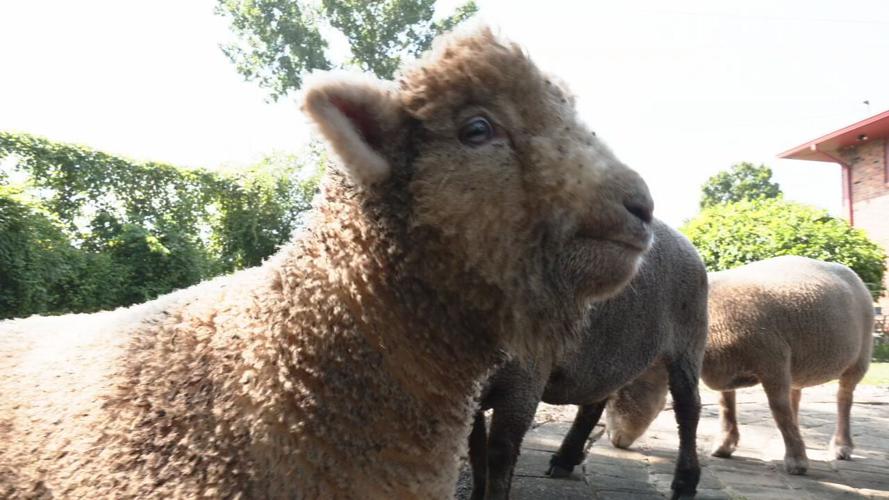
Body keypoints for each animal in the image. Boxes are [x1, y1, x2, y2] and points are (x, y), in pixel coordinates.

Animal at [468, 220, 708, 500]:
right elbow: (475, 448)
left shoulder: (524, 381)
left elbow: (499, 451)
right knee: (594, 403)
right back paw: (564, 459)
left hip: (688, 340)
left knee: (688, 408)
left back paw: (685, 483)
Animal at [604, 256, 875, 477]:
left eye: (619, 392)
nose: (614, 439)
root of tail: (851, 273)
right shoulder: (728, 368)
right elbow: (726, 406)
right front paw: (724, 446)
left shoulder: (773, 360)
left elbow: (778, 409)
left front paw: (797, 462)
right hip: (798, 363)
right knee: (795, 395)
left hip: (860, 357)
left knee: (844, 398)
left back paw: (841, 446)